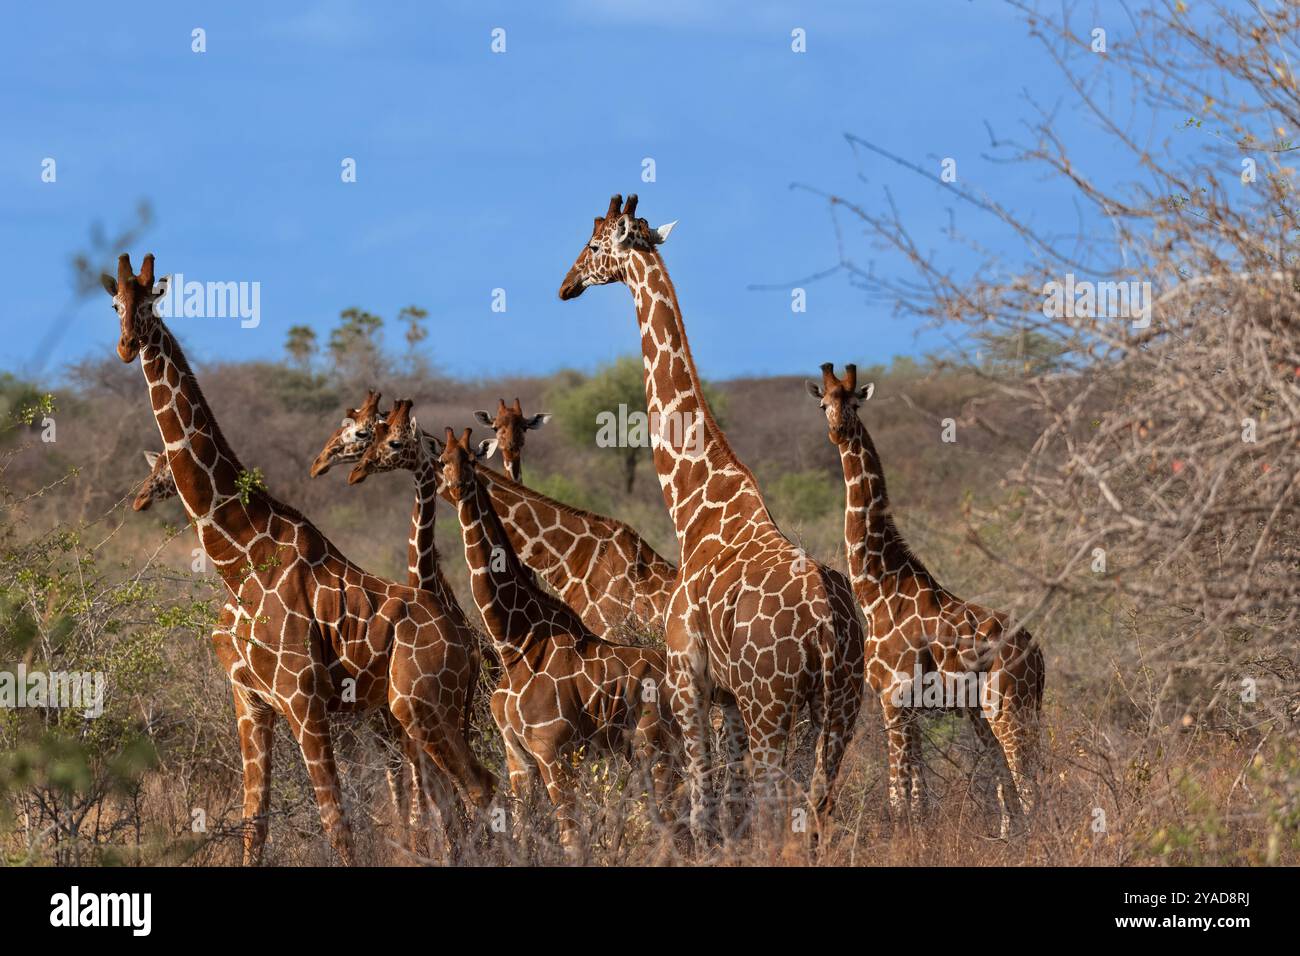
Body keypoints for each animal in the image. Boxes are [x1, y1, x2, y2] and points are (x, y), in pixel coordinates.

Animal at [102, 253, 496, 864]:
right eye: (115, 304)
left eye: (149, 302)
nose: (125, 345)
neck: (237, 558)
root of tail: (467, 642)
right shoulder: (250, 700)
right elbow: (254, 822)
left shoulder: (303, 698)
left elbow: (338, 823)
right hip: (427, 712)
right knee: (457, 801)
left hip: (421, 705)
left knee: (479, 789)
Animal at [353, 416, 679, 858]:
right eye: (442, 460)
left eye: (471, 460)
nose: (458, 485)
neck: (516, 641)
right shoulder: (518, 757)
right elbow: (525, 831)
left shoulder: (552, 750)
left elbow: (571, 839)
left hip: (652, 747)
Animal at [558, 195, 865, 846]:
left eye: (594, 245)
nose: (565, 285)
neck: (694, 505)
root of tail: (827, 623)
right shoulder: (724, 697)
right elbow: (731, 809)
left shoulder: (686, 677)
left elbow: (704, 810)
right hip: (840, 705)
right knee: (815, 808)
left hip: (771, 700)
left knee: (779, 807)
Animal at [806, 363, 1045, 836]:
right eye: (823, 403)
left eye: (853, 401)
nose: (838, 431)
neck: (876, 587)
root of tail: (1041, 655)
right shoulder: (908, 707)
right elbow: (918, 791)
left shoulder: (893, 698)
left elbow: (899, 791)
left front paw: (904, 839)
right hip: (991, 710)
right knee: (1009, 775)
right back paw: (1007, 837)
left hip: (1007, 706)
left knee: (1027, 781)